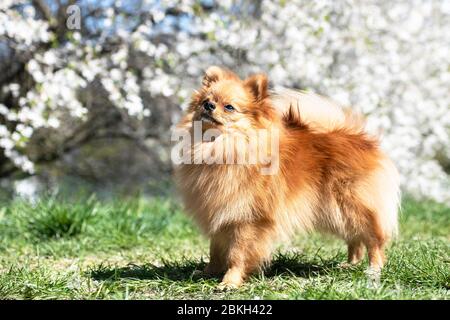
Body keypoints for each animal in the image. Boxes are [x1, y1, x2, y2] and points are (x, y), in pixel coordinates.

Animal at [173, 66, 400, 288]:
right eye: (205, 100)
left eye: (229, 107)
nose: (209, 105)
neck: (221, 148)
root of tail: (360, 139)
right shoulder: (220, 214)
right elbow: (215, 250)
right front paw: (207, 273)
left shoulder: (246, 219)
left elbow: (237, 254)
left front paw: (230, 282)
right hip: (337, 213)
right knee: (355, 239)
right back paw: (349, 265)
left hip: (352, 206)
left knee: (373, 239)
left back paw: (373, 270)